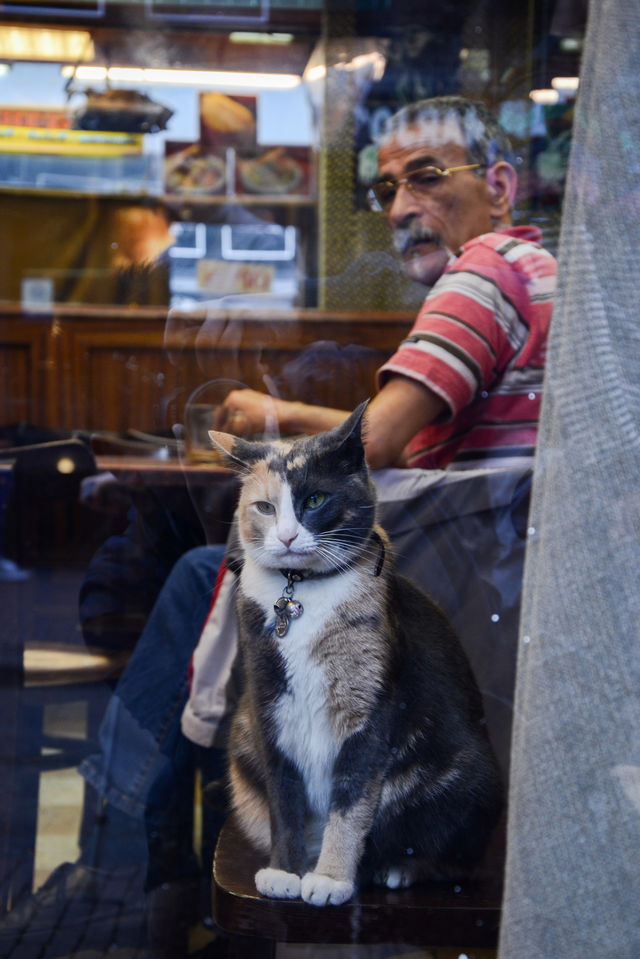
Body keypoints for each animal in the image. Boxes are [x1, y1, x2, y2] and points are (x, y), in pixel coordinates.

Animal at [212, 404, 502, 908]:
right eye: (265, 507)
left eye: (314, 500)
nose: (286, 537)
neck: (300, 592)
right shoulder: (269, 707)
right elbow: (283, 798)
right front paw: (284, 872)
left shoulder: (369, 709)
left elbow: (350, 802)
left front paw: (330, 878)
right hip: (243, 738)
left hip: (469, 776)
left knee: (456, 857)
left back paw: (397, 869)